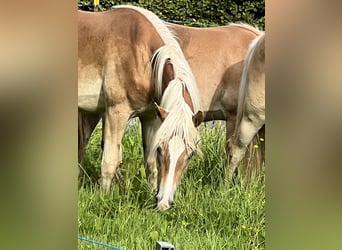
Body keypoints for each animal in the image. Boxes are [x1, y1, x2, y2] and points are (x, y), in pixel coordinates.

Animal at [78, 4, 204, 210]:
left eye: (190, 154)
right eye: (161, 149)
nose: (164, 203)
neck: (142, 55)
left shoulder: (151, 117)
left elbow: (150, 165)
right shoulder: (116, 112)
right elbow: (110, 160)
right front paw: (103, 197)